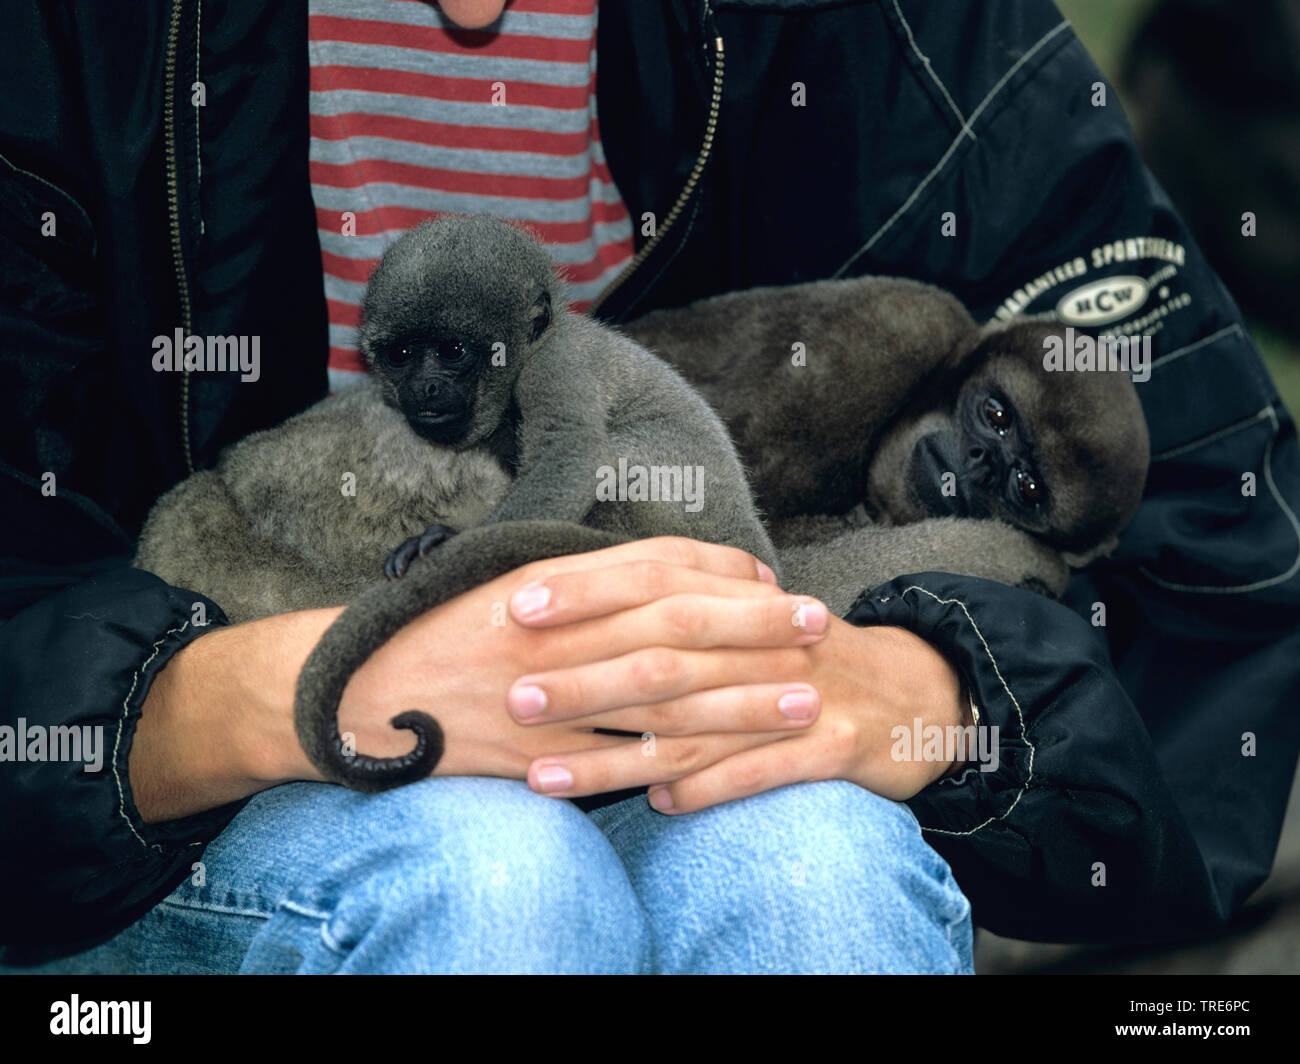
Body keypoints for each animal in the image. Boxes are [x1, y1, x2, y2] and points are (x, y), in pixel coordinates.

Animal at [137, 215, 774, 790]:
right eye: (400, 354)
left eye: (453, 351)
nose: (424, 388)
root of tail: (756, 546)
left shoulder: (554, 365)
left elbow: (572, 452)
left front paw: (446, 542)